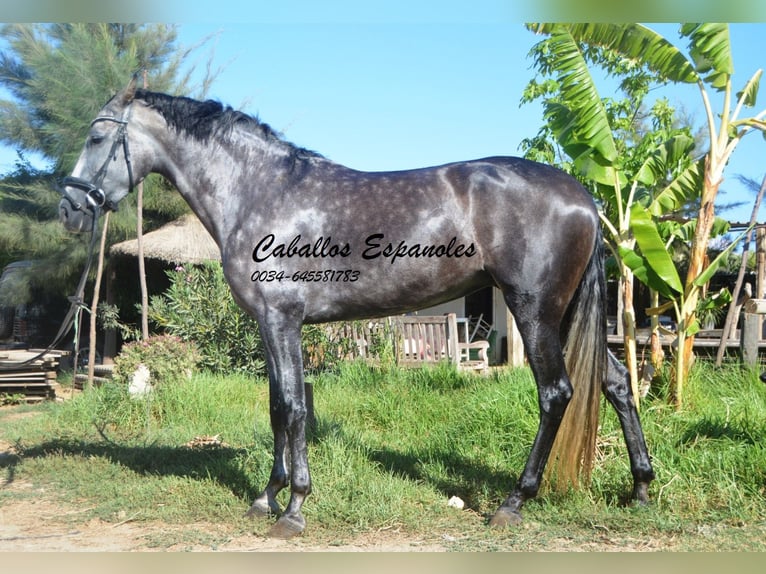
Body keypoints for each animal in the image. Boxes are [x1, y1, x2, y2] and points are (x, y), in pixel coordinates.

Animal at [58, 77, 656, 540]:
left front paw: (293, 509)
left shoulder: (282, 320)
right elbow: (276, 406)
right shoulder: (270, 325)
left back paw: (514, 501)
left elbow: (293, 407)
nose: (69, 209)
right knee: (616, 381)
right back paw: (641, 489)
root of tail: (582, 195)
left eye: (96, 136)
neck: (259, 191)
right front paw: (266, 497)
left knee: (556, 394)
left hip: (534, 312)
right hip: (566, 313)